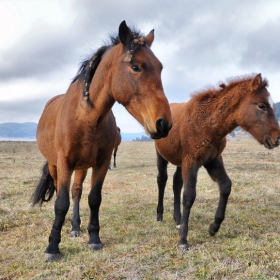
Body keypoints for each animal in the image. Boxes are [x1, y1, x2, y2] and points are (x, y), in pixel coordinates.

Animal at [29, 21, 172, 260]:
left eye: (160, 68)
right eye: (136, 67)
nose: (164, 123)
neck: (86, 118)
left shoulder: (101, 162)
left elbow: (94, 198)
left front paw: (94, 237)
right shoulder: (65, 162)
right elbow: (61, 202)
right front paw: (52, 247)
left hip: (82, 166)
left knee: (77, 191)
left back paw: (75, 227)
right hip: (55, 165)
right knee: (62, 191)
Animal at [155, 74, 280, 252]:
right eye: (262, 106)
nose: (277, 138)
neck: (208, 123)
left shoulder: (212, 160)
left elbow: (226, 186)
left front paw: (214, 227)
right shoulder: (192, 161)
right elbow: (189, 195)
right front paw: (183, 240)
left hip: (180, 161)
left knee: (176, 182)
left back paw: (178, 220)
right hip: (161, 156)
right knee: (162, 180)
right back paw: (160, 216)